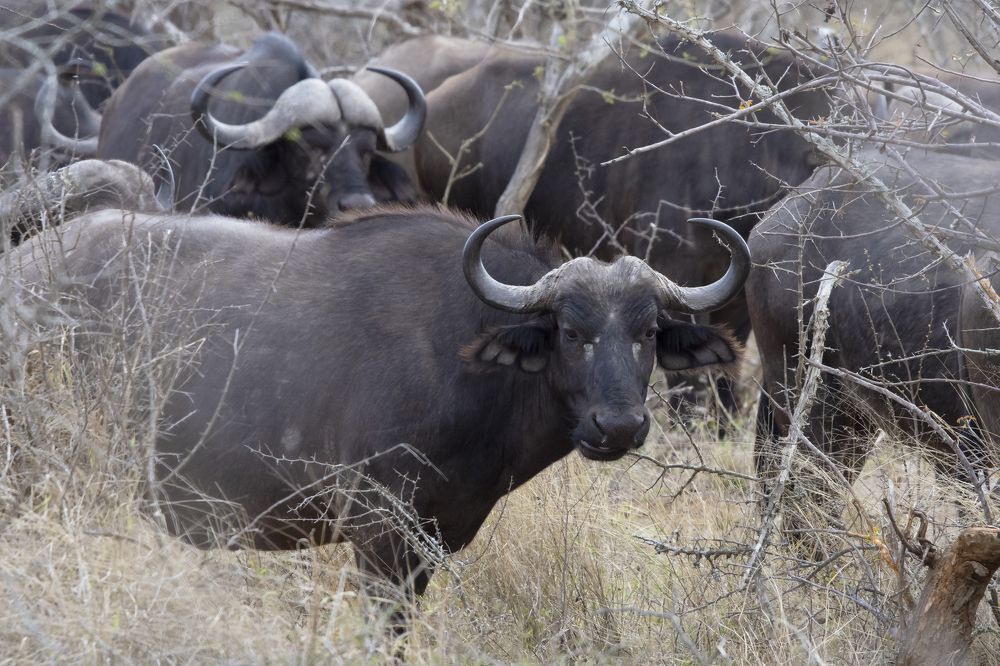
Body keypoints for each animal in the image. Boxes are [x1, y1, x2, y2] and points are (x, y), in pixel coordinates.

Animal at [5, 169, 748, 615]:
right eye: (570, 331)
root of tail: (23, 272)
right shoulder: (378, 536)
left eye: (649, 332)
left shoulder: (432, 542)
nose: (618, 426)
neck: (463, 352)